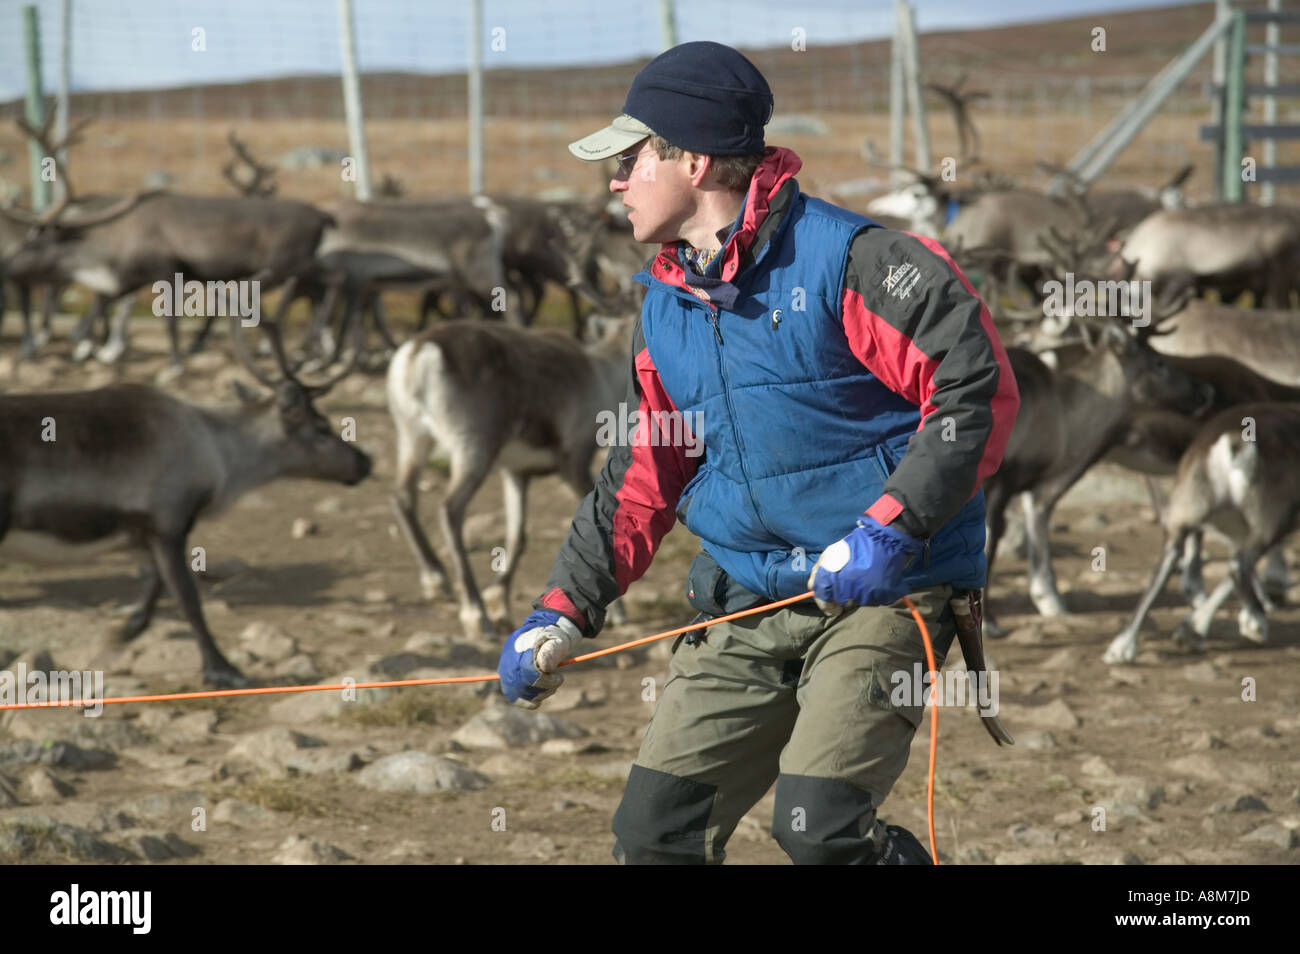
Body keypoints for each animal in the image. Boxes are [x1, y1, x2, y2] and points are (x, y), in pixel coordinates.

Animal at [0, 319, 371, 687]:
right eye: (322, 427)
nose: (365, 462)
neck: (217, 451)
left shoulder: (146, 534)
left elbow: (155, 585)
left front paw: (127, 629)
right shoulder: (168, 525)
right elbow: (188, 599)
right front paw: (222, 669)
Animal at [386, 312, 634, 642]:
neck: (602, 373)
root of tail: (420, 352)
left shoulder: (516, 472)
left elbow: (518, 537)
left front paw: (499, 604)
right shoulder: (573, 462)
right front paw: (618, 613)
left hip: (412, 438)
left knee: (402, 496)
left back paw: (437, 580)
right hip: (474, 448)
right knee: (450, 509)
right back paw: (475, 614)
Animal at [1102, 403, 1300, 664]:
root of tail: (1236, 443)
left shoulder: (1236, 533)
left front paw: (1192, 631)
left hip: (1184, 516)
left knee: (1163, 570)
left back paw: (1122, 647)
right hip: (1273, 521)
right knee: (1238, 565)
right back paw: (1257, 624)